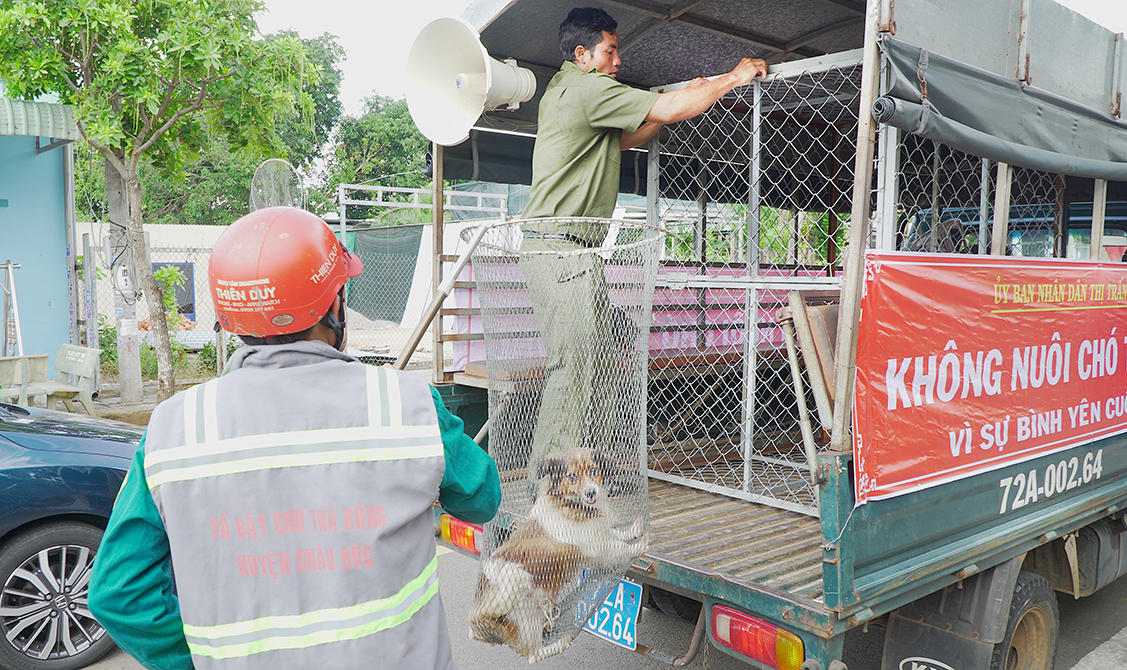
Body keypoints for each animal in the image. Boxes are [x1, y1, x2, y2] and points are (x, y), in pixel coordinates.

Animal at [466, 446, 644, 658]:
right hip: (524, 612)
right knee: (532, 655)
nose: (591, 492)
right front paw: (642, 545)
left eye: (593, 470)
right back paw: (560, 644)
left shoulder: (599, 532)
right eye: (572, 477)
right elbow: (621, 546)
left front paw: (634, 531)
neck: (571, 505)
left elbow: (617, 533)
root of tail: (479, 616)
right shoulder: (596, 547)